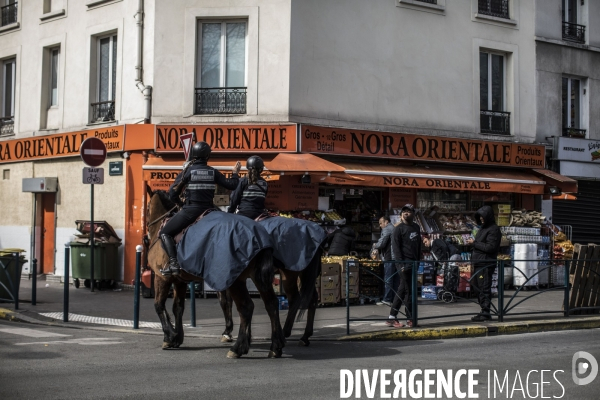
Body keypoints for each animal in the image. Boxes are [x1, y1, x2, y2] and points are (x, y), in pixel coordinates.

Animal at [146, 191, 286, 360]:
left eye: (147, 207)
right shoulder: (179, 281)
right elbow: (178, 307)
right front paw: (177, 337)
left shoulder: (162, 278)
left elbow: (158, 305)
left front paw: (169, 336)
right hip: (257, 278)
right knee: (271, 304)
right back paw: (275, 346)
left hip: (236, 280)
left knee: (246, 307)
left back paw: (238, 348)